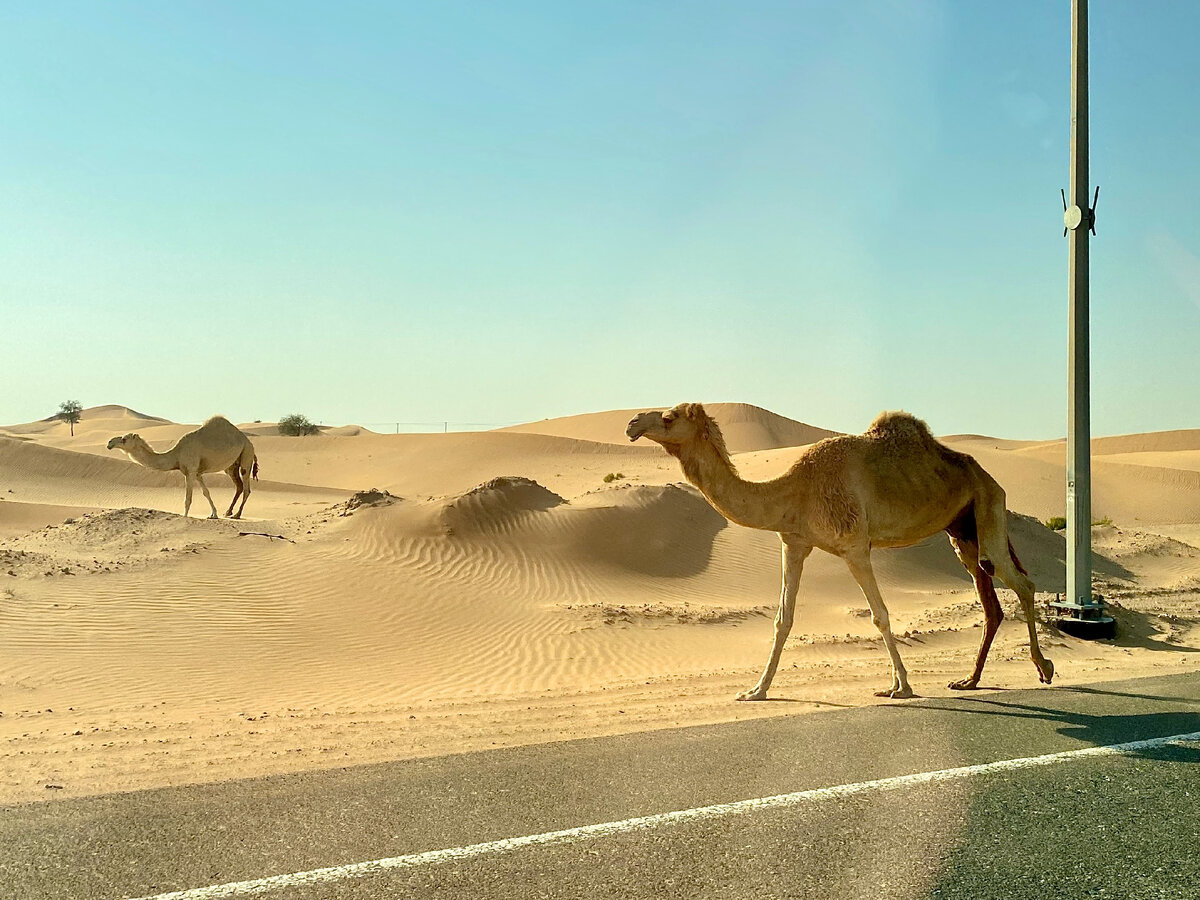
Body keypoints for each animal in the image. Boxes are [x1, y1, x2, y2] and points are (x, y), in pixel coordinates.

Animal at [106, 417, 259, 520]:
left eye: (124, 439)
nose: (109, 442)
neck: (176, 454)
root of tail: (247, 441)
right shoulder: (196, 472)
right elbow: (206, 492)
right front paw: (214, 514)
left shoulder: (190, 470)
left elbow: (188, 498)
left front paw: (184, 517)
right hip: (232, 465)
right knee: (239, 485)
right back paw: (228, 512)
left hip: (247, 453)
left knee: (246, 486)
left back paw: (237, 514)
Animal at [628, 403, 1051, 705]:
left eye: (668, 417)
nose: (632, 423)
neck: (794, 490)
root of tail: (988, 476)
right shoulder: (794, 542)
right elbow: (783, 619)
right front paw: (755, 691)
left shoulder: (854, 546)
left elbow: (880, 615)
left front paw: (901, 687)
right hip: (962, 530)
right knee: (990, 598)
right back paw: (969, 680)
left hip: (988, 508)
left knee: (1022, 582)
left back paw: (1043, 668)